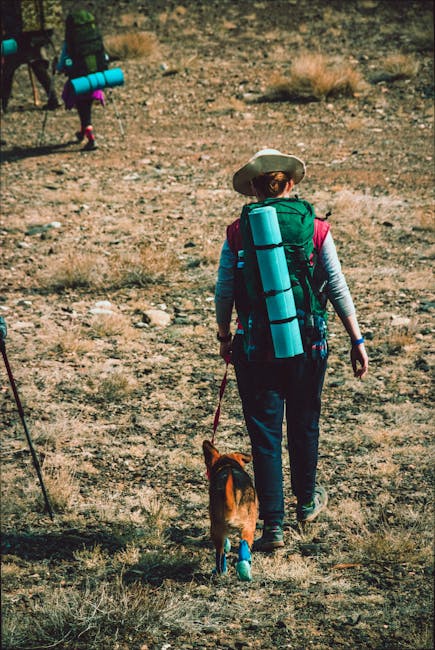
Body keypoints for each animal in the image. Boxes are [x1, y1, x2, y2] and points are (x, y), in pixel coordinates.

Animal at [204, 438, 258, 580]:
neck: (228, 465)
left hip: (216, 530)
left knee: (220, 554)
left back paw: (220, 571)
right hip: (248, 527)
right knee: (243, 546)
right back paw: (245, 572)